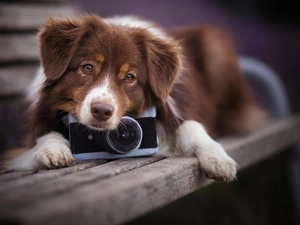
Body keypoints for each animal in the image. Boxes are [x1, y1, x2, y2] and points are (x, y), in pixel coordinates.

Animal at [8, 14, 264, 182]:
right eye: (87, 67)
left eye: (129, 77)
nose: (101, 111)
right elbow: (42, 135)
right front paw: (53, 150)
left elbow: (191, 126)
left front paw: (217, 158)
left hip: (214, 45)